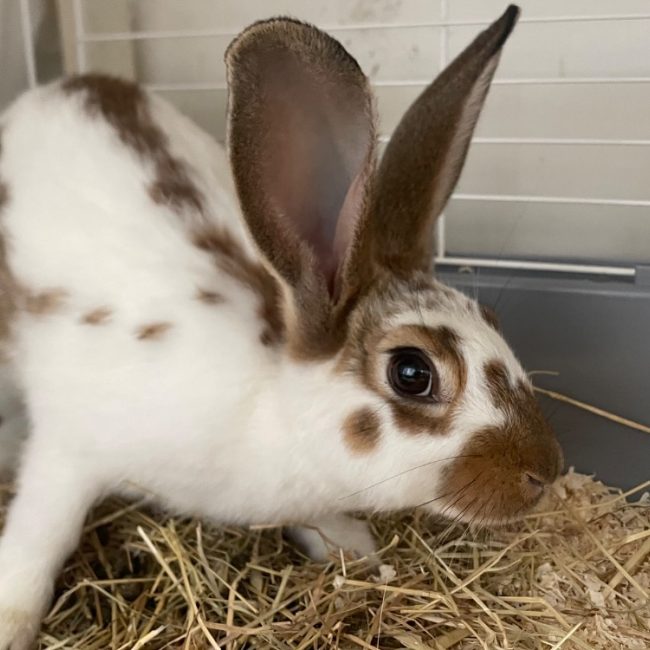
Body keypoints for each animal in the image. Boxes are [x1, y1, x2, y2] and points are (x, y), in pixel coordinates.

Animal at [0, 5, 562, 647]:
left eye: (493, 319)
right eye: (411, 372)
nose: (545, 471)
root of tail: (65, 83)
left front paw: (355, 550)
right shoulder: (67, 453)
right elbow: (38, 538)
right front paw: (10, 621)